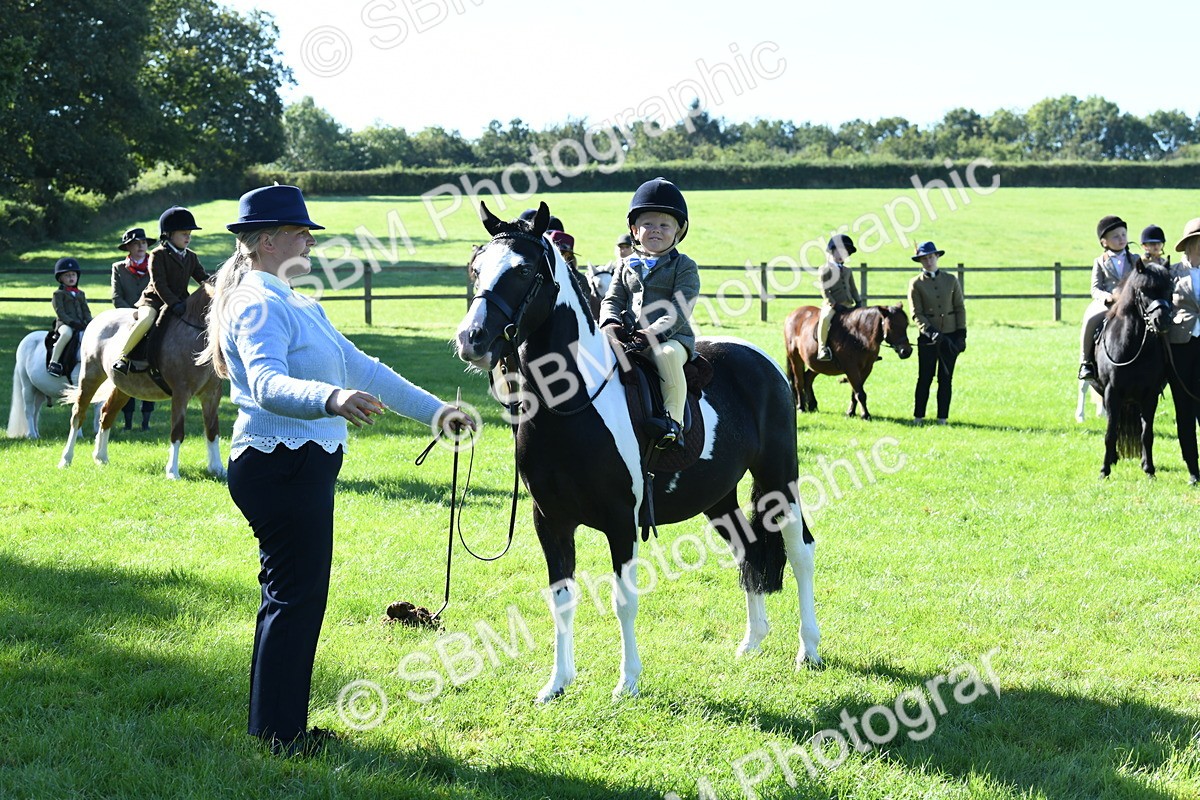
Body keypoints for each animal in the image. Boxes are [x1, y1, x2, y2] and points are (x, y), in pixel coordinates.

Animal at [58, 282, 224, 480]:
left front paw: (217, 468)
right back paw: (66, 459)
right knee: (78, 414)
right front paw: (172, 472)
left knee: (107, 414)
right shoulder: (181, 393)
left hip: (124, 387)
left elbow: (213, 430)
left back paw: (101, 457)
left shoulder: (212, 394)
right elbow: (177, 431)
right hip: (91, 375)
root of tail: (98, 319)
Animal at [454, 202, 820, 702]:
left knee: (800, 551)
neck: (572, 403)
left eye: (524, 269)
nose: (471, 338)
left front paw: (627, 682)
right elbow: (561, 599)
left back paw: (809, 650)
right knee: (748, 550)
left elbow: (622, 600)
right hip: (718, 497)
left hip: (780, 478)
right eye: (476, 267)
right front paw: (557, 683)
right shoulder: (550, 520)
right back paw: (752, 641)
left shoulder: (620, 521)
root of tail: (759, 359)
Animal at [782, 304, 913, 420]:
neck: (859, 335)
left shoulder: (866, 369)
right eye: (892, 325)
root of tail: (792, 314)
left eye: (906, 324)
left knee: (808, 378)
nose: (906, 351)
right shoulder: (851, 368)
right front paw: (865, 415)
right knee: (799, 382)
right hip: (795, 358)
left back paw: (812, 405)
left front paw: (851, 412)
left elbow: (855, 392)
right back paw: (801, 407)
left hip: (816, 365)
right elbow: (860, 393)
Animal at [1094, 261, 1173, 478]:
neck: (1133, 345)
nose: (1162, 321)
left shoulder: (1150, 395)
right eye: (1143, 290)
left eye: (1169, 289)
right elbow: (1110, 432)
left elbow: (1147, 434)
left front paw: (1149, 470)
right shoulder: (1111, 393)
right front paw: (1104, 470)